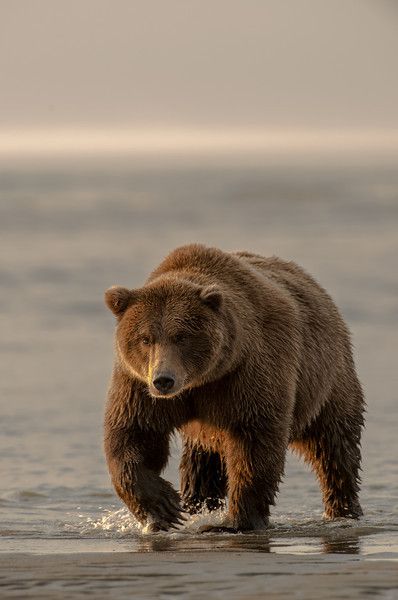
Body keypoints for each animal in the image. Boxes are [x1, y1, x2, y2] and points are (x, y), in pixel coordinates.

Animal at [104, 241, 366, 532]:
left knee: (334, 446)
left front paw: (236, 520)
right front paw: (163, 509)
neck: (201, 380)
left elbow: (254, 441)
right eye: (145, 338)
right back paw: (195, 502)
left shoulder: (247, 374)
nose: (163, 380)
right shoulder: (139, 385)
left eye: (181, 336)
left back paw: (344, 510)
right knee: (201, 462)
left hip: (327, 380)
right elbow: (135, 434)